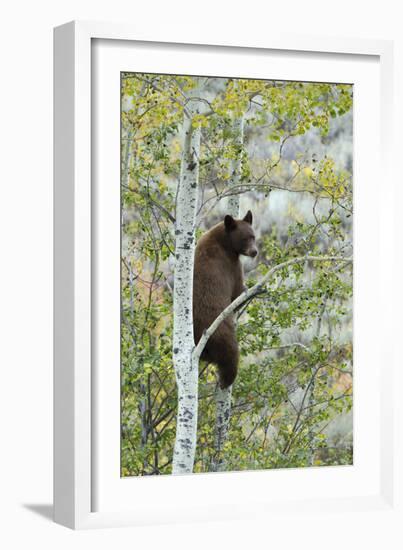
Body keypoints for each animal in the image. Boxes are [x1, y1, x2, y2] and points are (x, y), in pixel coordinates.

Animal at [193, 209, 258, 390]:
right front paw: (248, 290)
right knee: (231, 354)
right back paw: (226, 380)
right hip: (223, 332)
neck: (223, 241)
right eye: (245, 238)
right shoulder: (231, 266)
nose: (254, 252)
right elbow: (237, 294)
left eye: (253, 236)